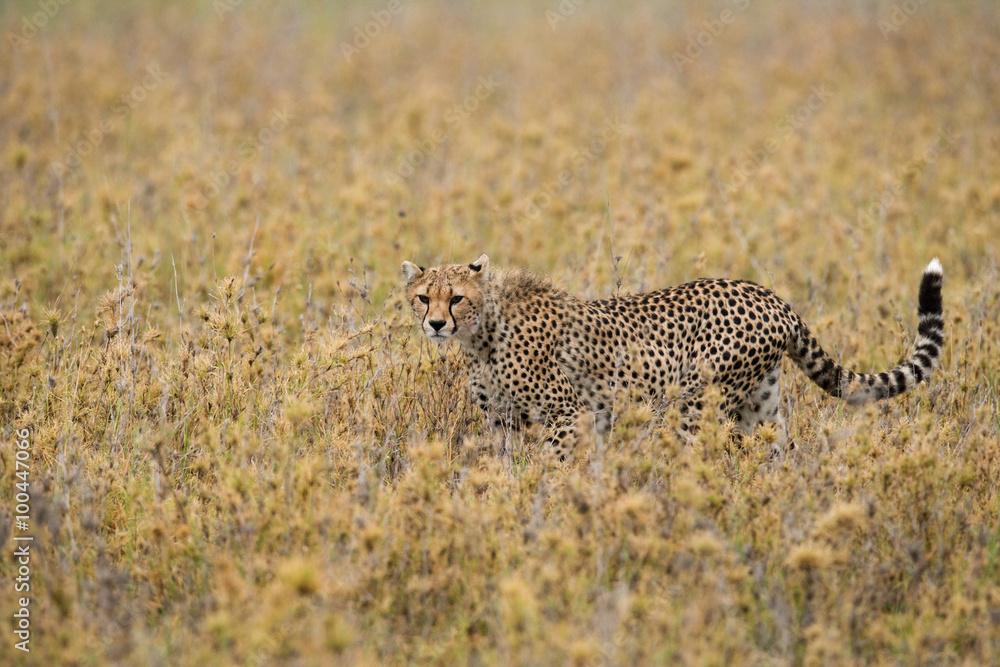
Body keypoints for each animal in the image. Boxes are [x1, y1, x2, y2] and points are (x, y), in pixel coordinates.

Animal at [402, 254, 944, 460]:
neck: (482, 333)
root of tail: (767, 294)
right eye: (423, 297)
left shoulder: (569, 413)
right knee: (777, 452)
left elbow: (552, 464)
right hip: (760, 404)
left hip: (700, 401)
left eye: (455, 298)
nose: (436, 324)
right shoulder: (503, 421)